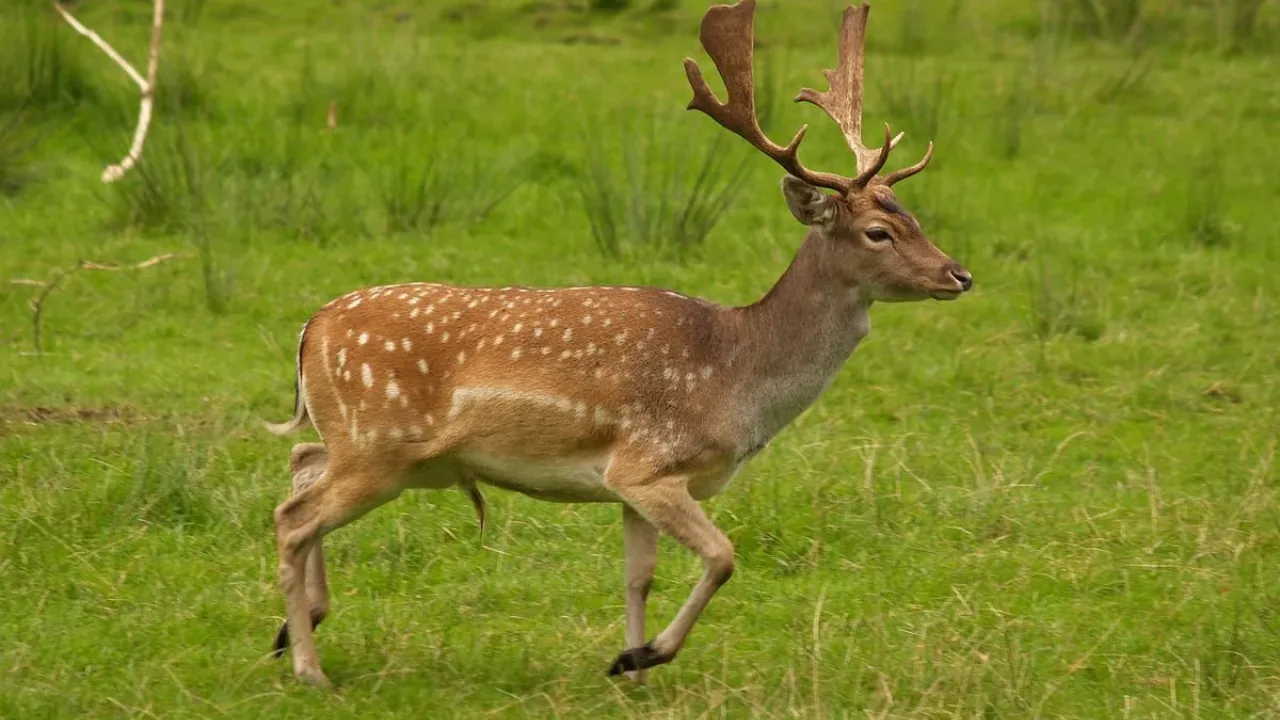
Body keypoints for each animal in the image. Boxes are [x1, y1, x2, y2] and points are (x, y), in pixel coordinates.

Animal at [266, 0, 972, 688]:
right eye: (879, 231)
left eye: (915, 217)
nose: (959, 274)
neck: (736, 378)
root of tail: (310, 327)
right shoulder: (648, 464)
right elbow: (723, 557)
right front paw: (646, 655)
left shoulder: (632, 486)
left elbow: (639, 577)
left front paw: (628, 668)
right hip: (378, 446)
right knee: (294, 518)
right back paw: (308, 667)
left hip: (374, 448)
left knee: (301, 462)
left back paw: (291, 629)